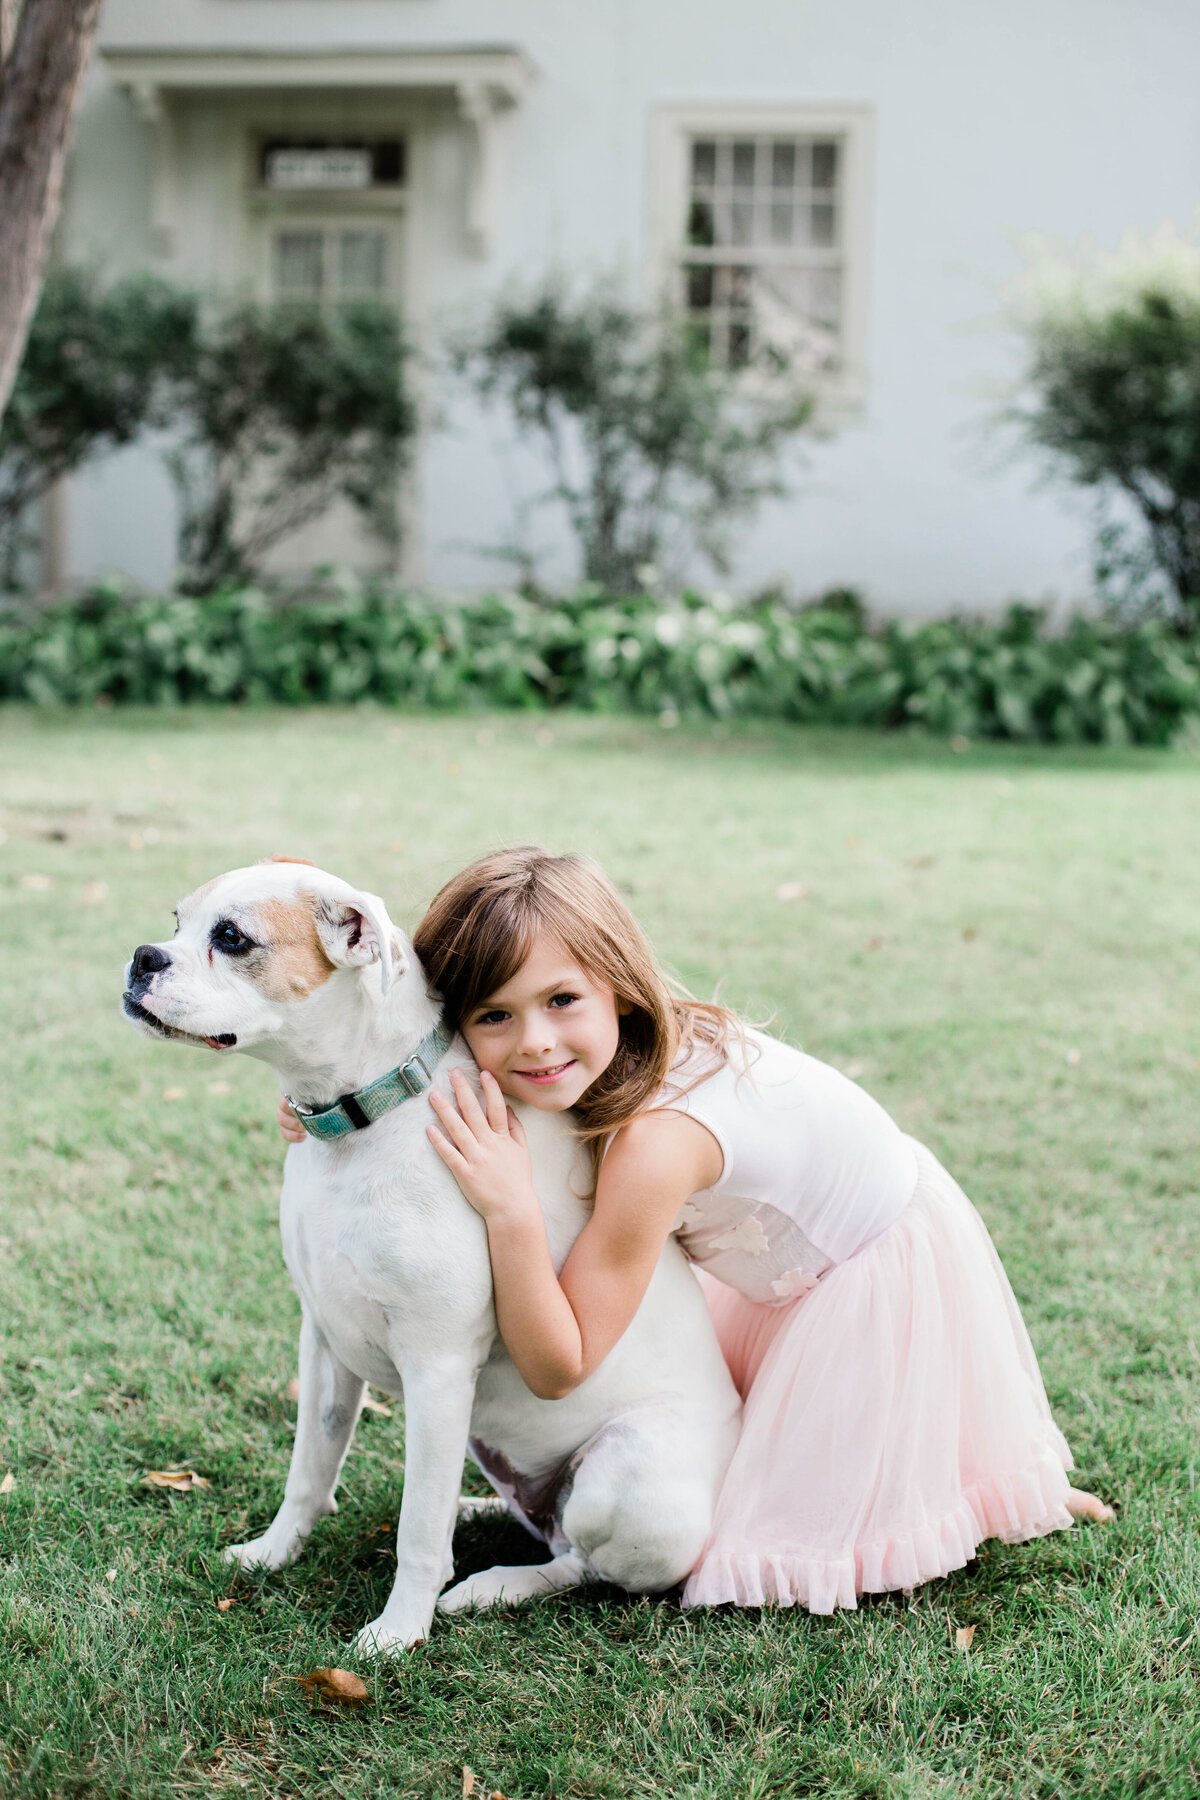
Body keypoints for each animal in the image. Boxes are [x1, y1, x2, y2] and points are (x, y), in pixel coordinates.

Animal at [124, 864, 741, 1648]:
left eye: (231, 937)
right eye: (177, 922)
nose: (143, 956)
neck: (365, 1114)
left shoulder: (438, 1367)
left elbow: (417, 1531)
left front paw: (397, 1632)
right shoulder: (323, 1343)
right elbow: (309, 1470)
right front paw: (272, 1552)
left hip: (631, 1484)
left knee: (581, 1562)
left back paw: (491, 1588)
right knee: (534, 1521)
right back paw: (479, 1512)